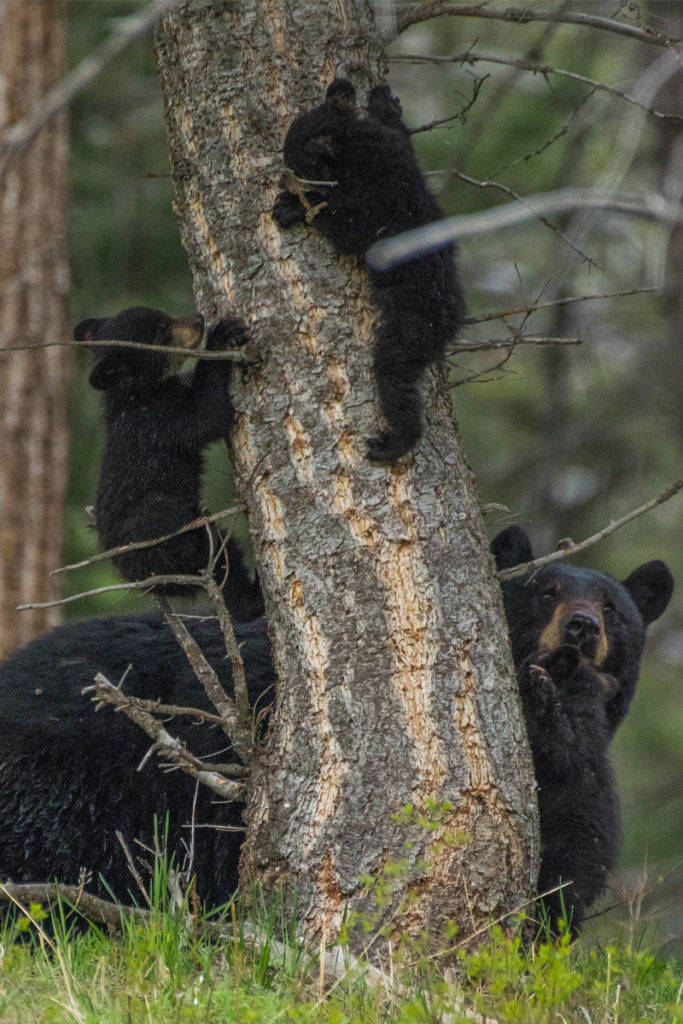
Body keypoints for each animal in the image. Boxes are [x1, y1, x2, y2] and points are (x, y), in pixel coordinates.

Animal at [74, 306, 263, 622]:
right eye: (162, 331)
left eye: (164, 315)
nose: (199, 319)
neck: (138, 393)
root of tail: (140, 579)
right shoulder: (157, 421)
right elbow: (206, 414)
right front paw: (223, 335)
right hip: (163, 529)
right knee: (218, 557)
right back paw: (254, 596)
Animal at [272, 78, 466, 464]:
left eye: (295, 166)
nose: (282, 184)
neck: (358, 151)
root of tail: (455, 313)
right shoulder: (395, 150)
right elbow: (400, 135)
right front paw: (382, 100)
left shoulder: (380, 202)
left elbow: (350, 228)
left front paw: (294, 209)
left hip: (413, 324)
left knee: (394, 374)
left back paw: (393, 442)